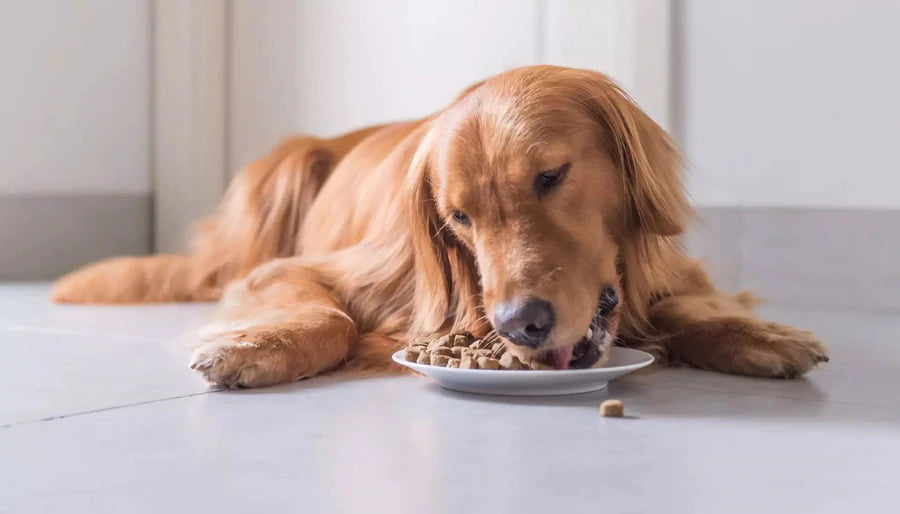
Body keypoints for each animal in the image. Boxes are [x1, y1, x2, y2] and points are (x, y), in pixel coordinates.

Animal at [51, 68, 828, 386]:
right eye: (458, 219)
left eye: (552, 176)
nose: (522, 325)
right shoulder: (299, 270)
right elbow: (329, 315)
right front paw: (257, 346)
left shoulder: (669, 269)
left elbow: (695, 305)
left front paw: (760, 336)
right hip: (282, 171)